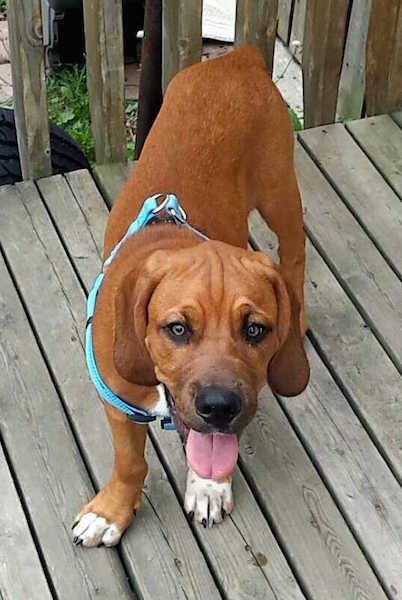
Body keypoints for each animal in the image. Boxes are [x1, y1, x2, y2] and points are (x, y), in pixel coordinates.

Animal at [72, 44, 310, 548]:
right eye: (177, 329)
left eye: (256, 330)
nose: (219, 407)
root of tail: (236, 59)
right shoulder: (116, 400)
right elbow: (130, 462)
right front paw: (111, 510)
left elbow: (213, 451)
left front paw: (208, 486)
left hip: (280, 191)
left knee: (295, 255)